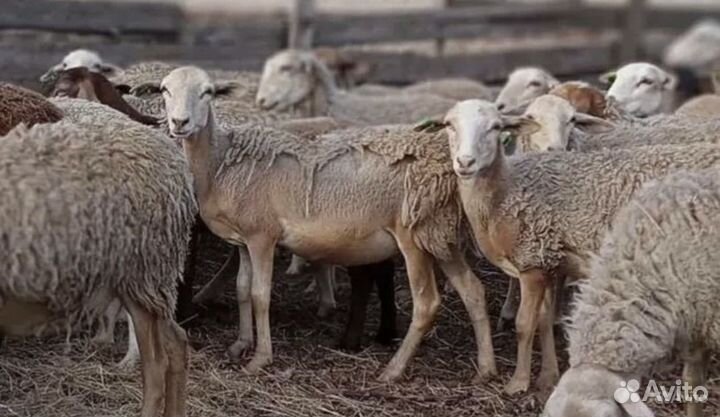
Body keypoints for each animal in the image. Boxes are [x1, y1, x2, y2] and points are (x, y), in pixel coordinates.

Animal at [161, 66, 497, 382]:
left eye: (207, 92)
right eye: (165, 90)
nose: (180, 123)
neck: (220, 161)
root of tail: (445, 162)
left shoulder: (262, 236)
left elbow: (260, 296)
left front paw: (260, 359)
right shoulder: (242, 239)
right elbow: (242, 289)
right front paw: (240, 344)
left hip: (413, 237)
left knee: (427, 304)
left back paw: (393, 369)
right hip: (438, 234)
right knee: (474, 291)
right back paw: (486, 369)